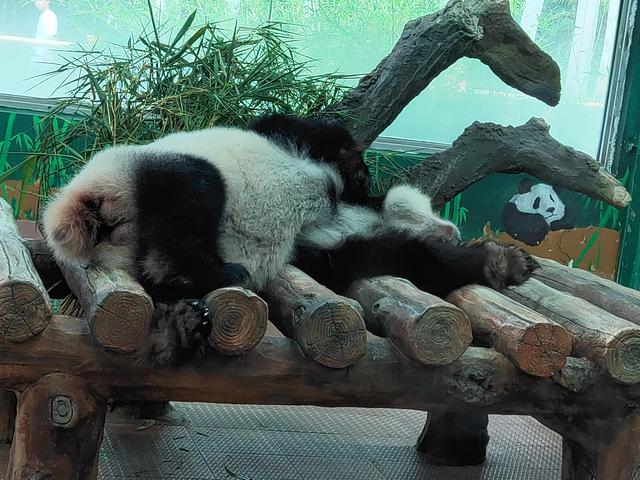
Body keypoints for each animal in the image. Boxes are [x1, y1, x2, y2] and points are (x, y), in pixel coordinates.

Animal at [42, 114, 536, 366]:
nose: (450, 228)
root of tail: (84, 208)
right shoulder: (297, 142)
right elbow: (313, 130)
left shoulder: (323, 247)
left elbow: (379, 258)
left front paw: (497, 262)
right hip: (150, 169)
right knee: (196, 191)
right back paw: (213, 271)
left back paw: (178, 325)